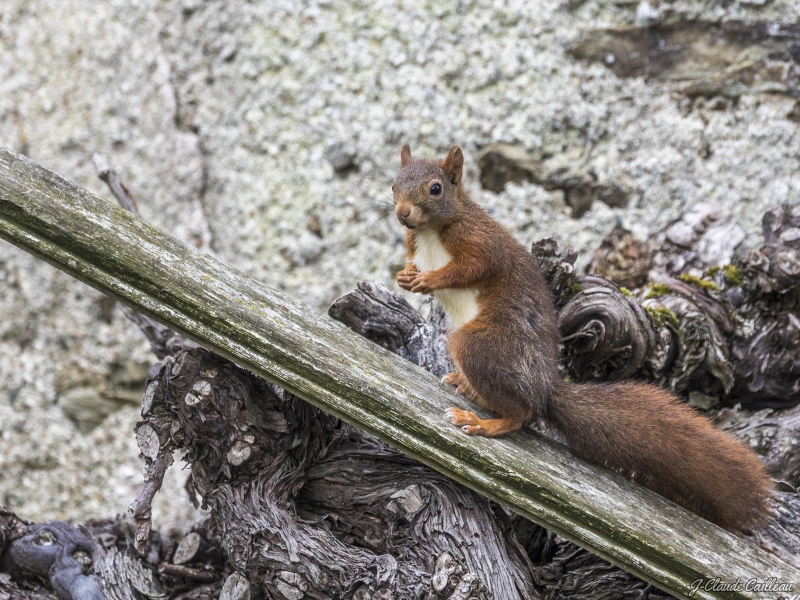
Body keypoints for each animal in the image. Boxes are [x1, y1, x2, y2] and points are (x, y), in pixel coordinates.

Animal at [390, 143, 772, 532]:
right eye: (394, 184)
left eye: (436, 188)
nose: (403, 214)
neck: (431, 232)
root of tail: (545, 388)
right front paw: (405, 275)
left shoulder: (480, 240)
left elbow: (475, 266)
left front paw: (429, 279)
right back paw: (466, 386)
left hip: (480, 344)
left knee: (522, 414)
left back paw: (483, 423)